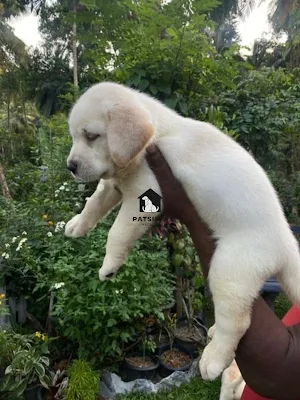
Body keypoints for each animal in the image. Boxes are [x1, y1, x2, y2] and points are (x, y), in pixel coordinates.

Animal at [63, 80, 300, 382]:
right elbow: (94, 203)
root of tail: (286, 243)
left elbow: (116, 232)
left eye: (92, 136)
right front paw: (77, 225)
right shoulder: (114, 185)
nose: (70, 166)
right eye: (75, 136)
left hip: (229, 270)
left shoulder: (144, 193)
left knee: (237, 321)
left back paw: (214, 359)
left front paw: (109, 266)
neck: (156, 135)